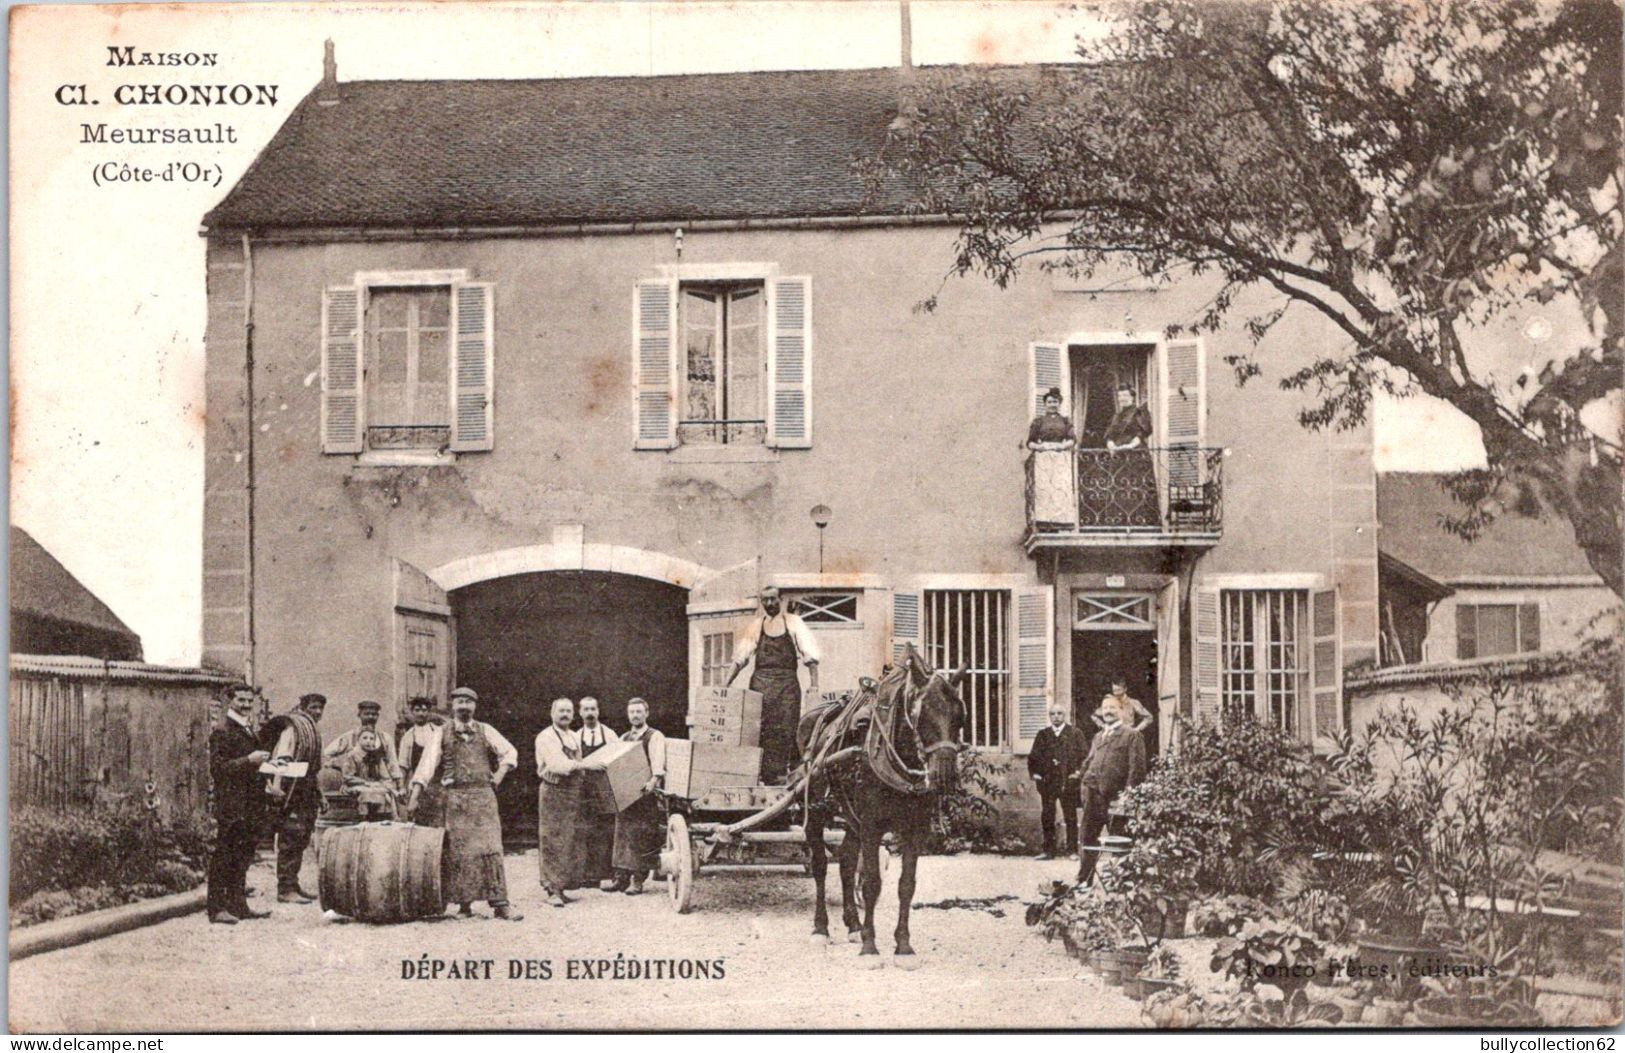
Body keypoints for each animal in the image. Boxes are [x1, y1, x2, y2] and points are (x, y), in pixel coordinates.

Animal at [799, 650, 962, 968]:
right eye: (924, 712)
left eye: (960, 716)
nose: (945, 774)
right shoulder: (872, 826)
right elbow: (872, 884)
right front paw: (870, 947)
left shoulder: (914, 830)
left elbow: (906, 885)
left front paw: (903, 947)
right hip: (816, 812)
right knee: (820, 867)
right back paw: (821, 929)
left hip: (851, 819)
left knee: (847, 862)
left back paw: (853, 925)